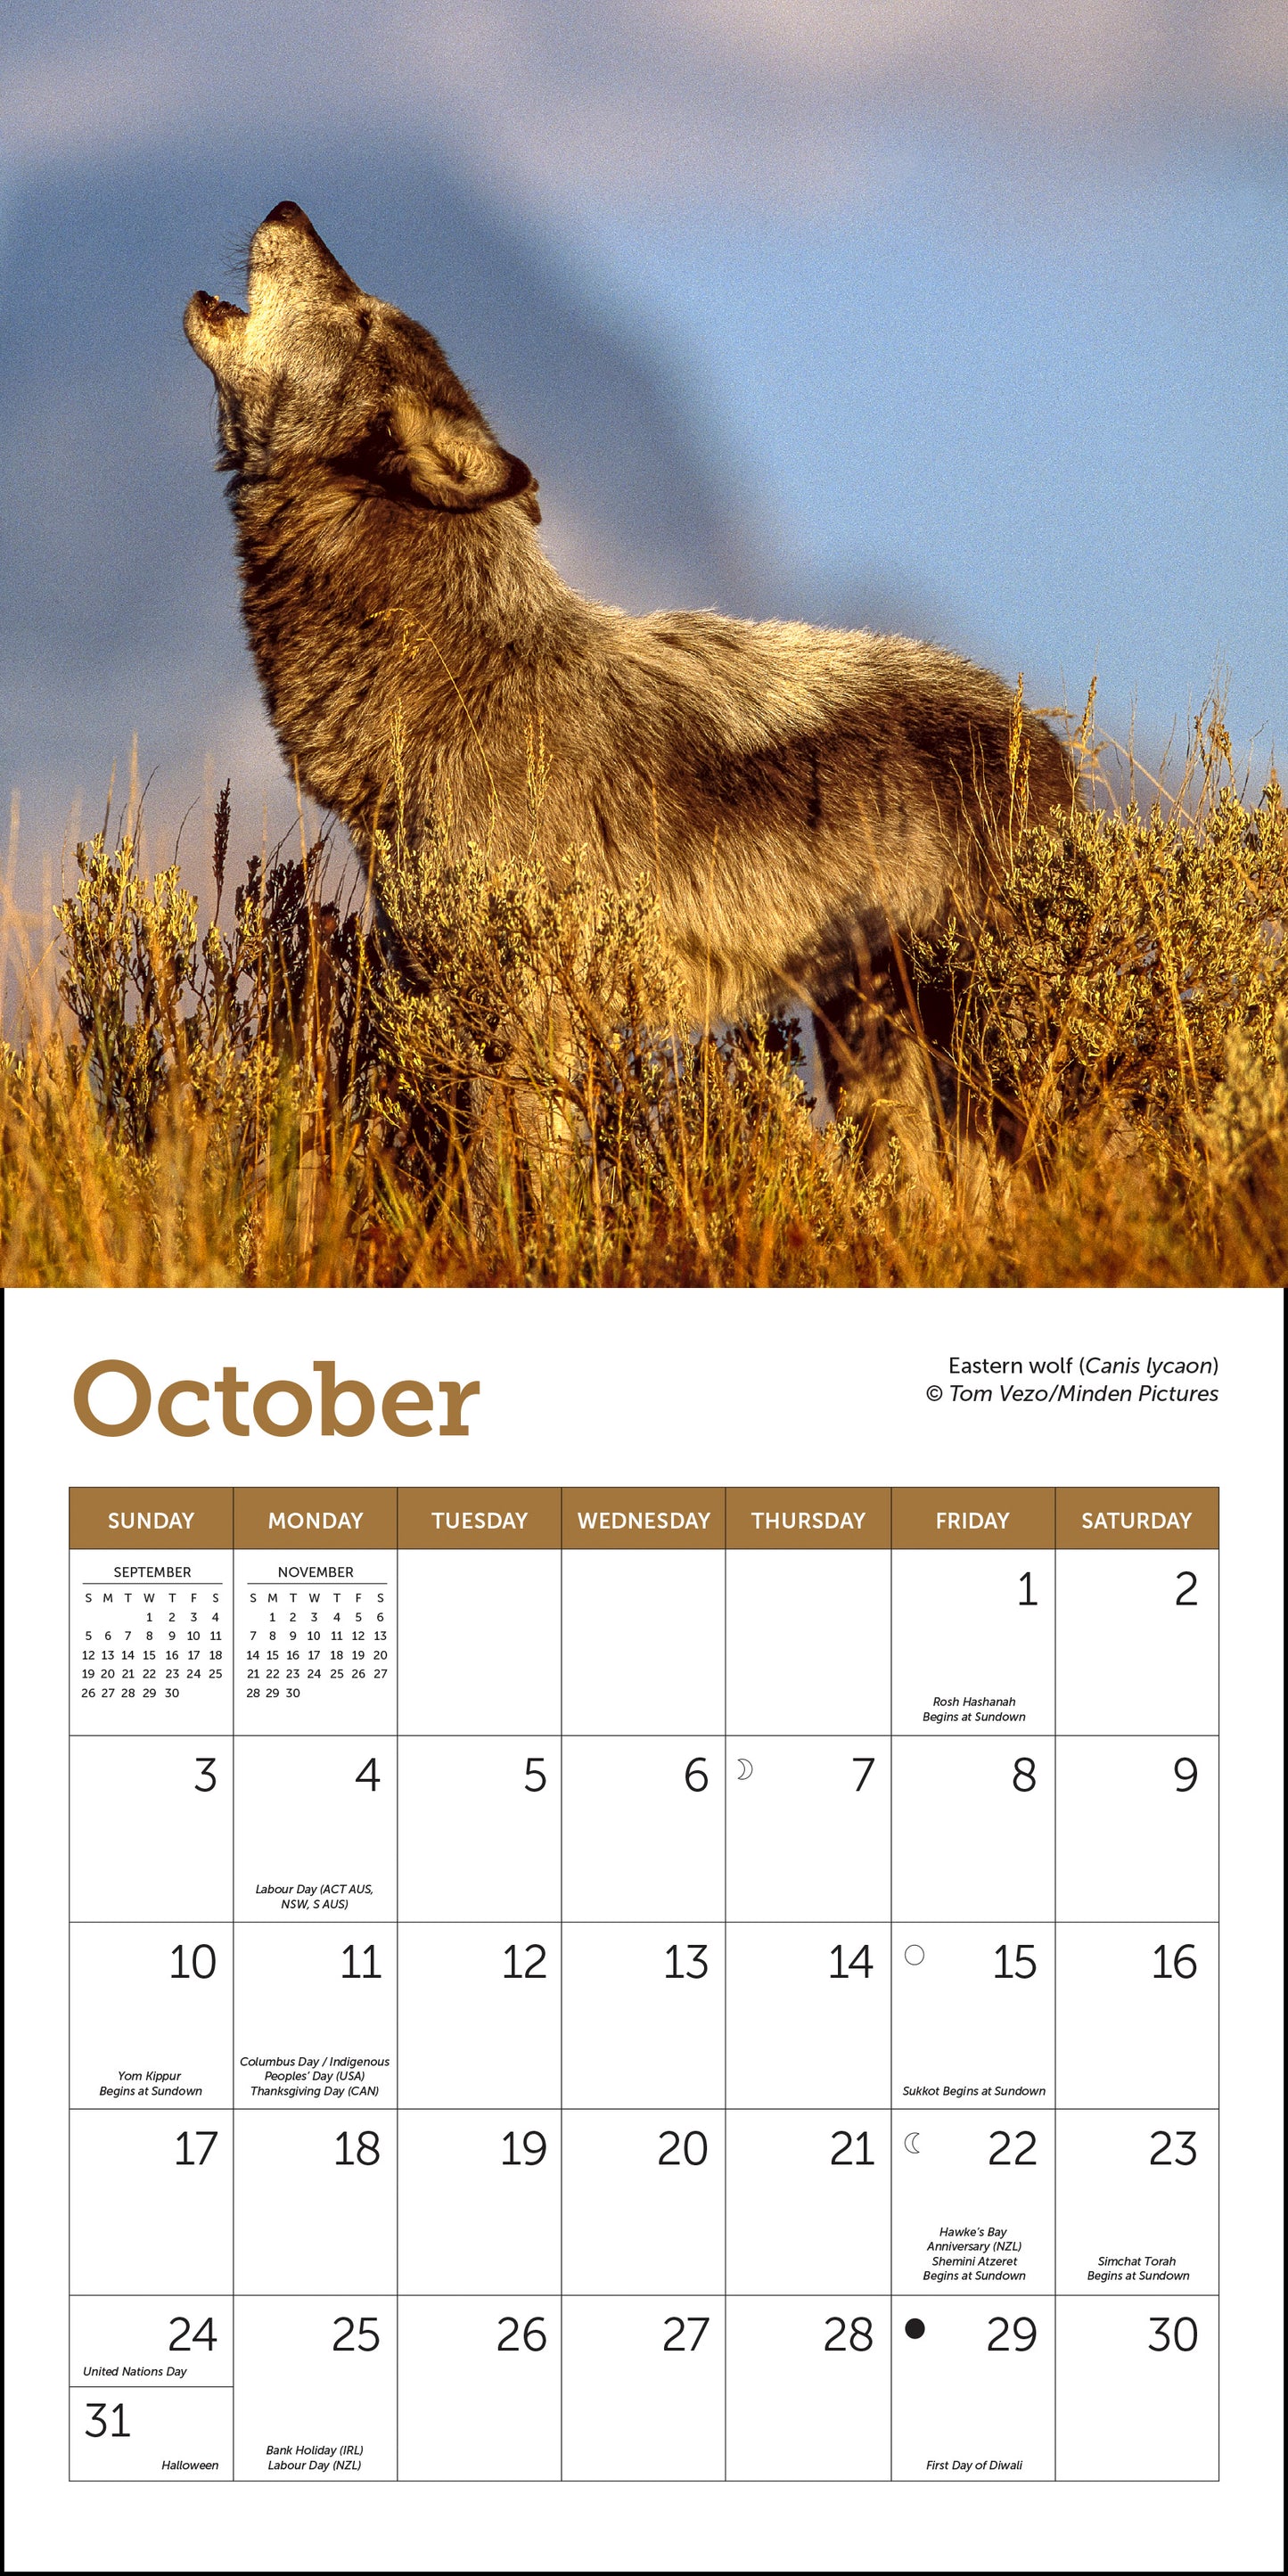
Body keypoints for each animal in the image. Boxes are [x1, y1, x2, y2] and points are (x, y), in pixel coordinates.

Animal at [185, 202, 1077, 1164]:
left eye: (360, 317)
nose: (287, 209)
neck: (454, 677)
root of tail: (1048, 743)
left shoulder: (525, 1011)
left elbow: (518, 1179)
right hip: (869, 1044)